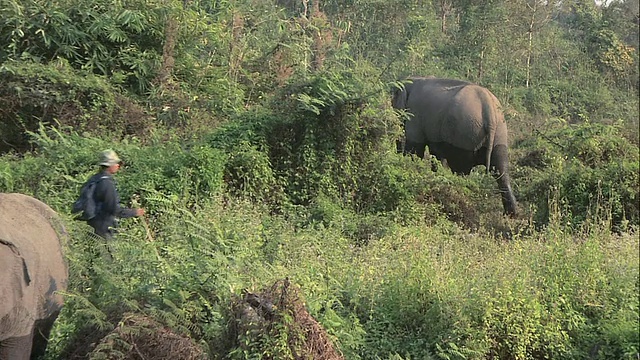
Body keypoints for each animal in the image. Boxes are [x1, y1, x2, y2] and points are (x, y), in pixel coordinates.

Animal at [392, 76, 516, 217]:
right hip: (500, 134)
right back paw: (511, 215)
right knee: (501, 171)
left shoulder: (414, 114)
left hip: (464, 134)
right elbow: (436, 154)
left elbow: (415, 150)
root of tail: (488, 107)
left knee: (461, 170)